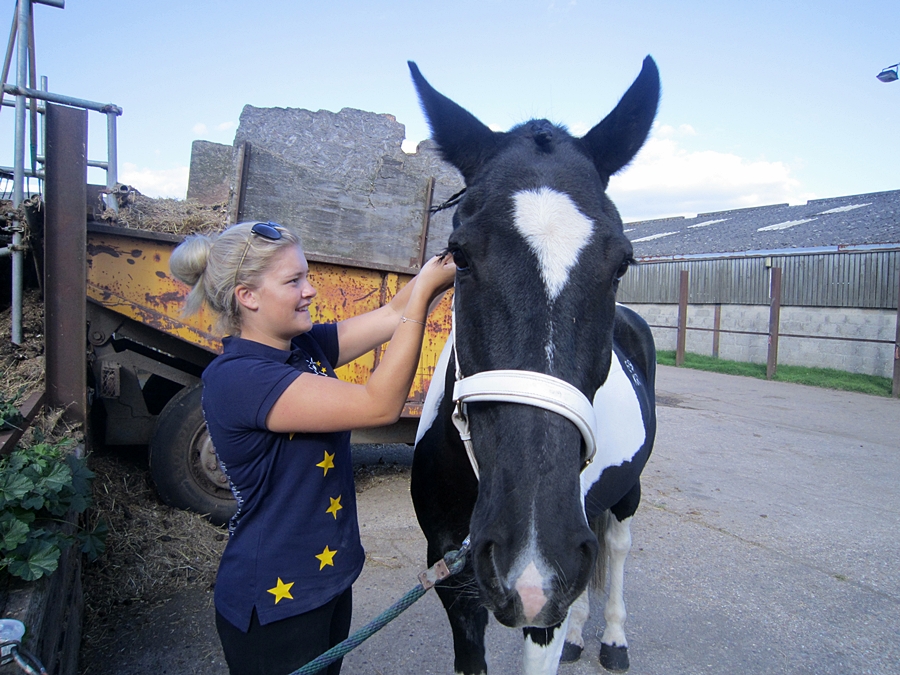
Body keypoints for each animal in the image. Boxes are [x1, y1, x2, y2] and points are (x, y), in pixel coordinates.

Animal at [409, 57, 660, 675]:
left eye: (623, 263)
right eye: (459, 254)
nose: (533, 560)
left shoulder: (541, 605)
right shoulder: (454, 578)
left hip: (625, 495)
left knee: (616, 548)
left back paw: (612, 640)